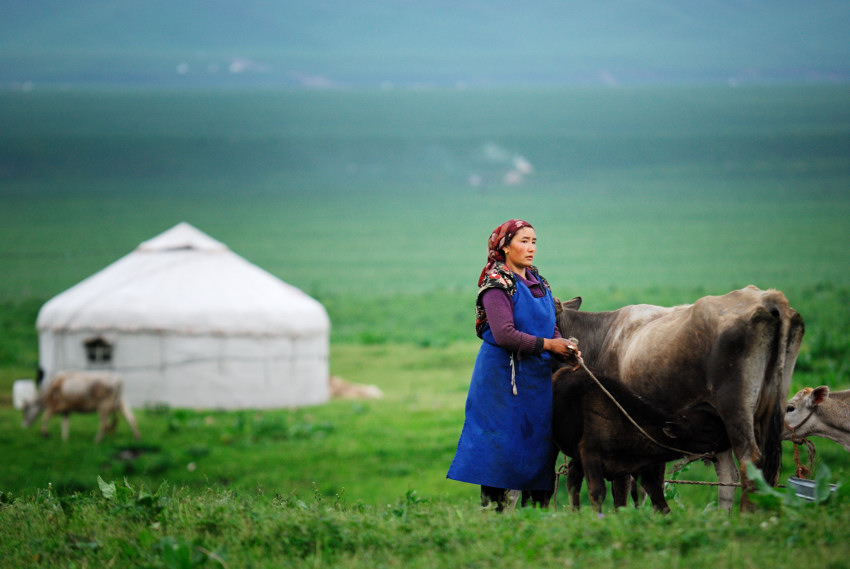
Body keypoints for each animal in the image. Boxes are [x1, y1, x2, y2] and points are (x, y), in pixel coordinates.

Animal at [548, 366, 728, 512]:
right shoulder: (590, 454)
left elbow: (658, 499)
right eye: (709, 427)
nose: (729, 435)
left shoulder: (638, 466)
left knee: (573, 477)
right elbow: (598, 492)